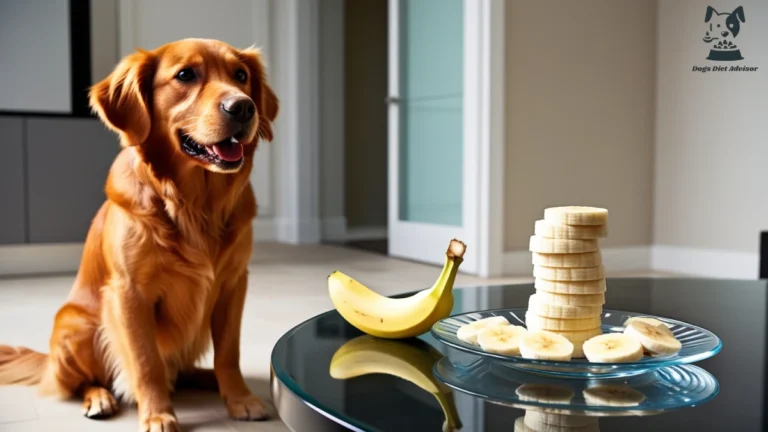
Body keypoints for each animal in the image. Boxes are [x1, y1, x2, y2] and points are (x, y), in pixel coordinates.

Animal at [0, 38, 280, 432]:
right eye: (185, 75)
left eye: (240, 75)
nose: (243, 107)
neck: (195, 205)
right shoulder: (130, 293)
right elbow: (146, 362)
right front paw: (158, 414)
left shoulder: (233, 283)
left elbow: (228, 352)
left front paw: (239, 398)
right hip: (76, 327)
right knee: (85, 382)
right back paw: (100, 398)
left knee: (187, 370)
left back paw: (211, 379)